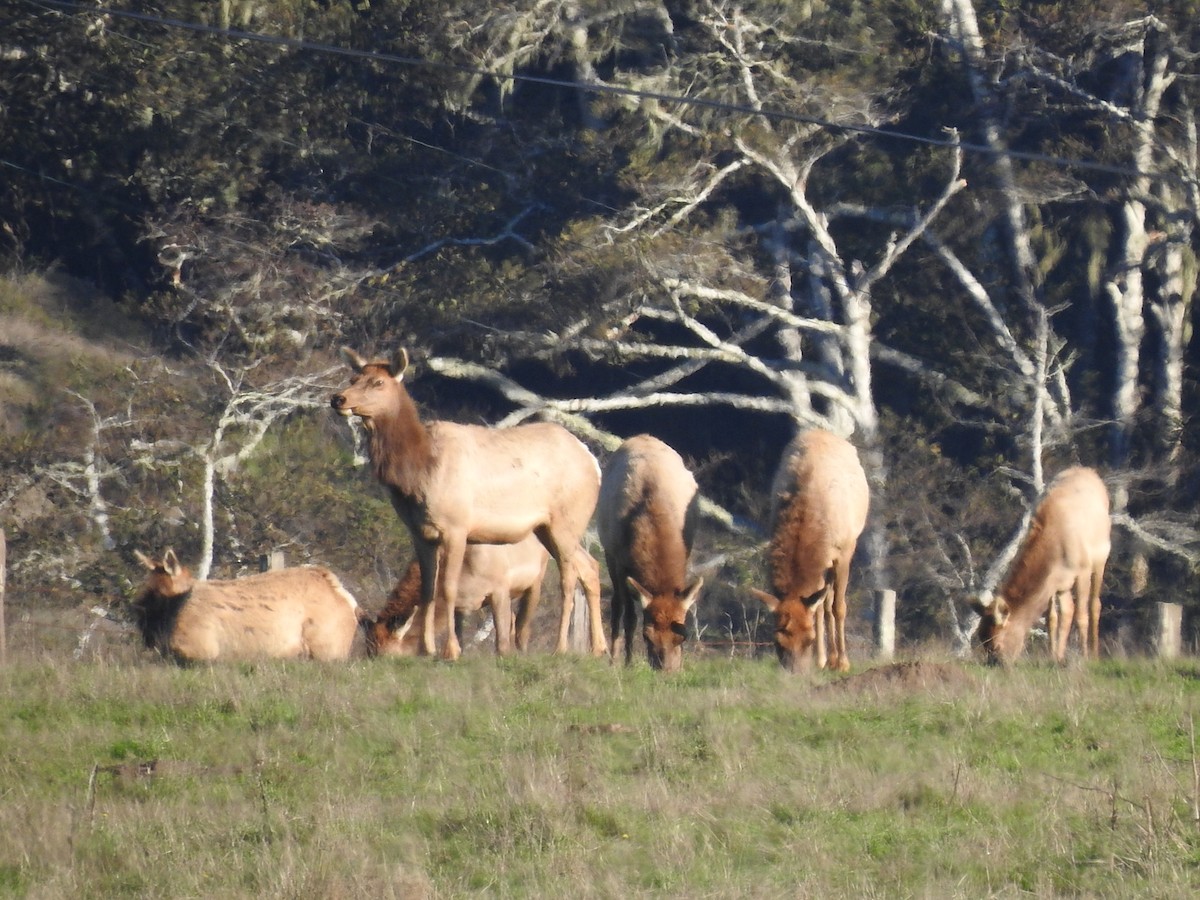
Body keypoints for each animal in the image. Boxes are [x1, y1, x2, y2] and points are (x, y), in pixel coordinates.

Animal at [365, 536, 550, 657]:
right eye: (369, 651)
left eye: (386, 656)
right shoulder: (458, 605)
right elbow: (457, 638)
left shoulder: (500, 590)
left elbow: (501, 642)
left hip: (536, 582)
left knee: (522, 628)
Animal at [597, 434, 703, 673]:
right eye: (647, 636)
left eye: (682, 636)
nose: (667, 671)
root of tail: (642, 436)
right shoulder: (620, 561)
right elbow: (629, 617)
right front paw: (626, 662)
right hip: (608, 552)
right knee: (617, 604)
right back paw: (613, 658)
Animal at [751, 429, 869, 674]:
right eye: (778, 641)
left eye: (809, 639)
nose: (795, 672)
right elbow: (821, 608)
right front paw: (822, 659)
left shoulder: (844, 551)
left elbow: (839, 607)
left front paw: (843, 663)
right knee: (822, 605)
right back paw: (826, 659)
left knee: (830, 603)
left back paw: (835, 659)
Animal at [970, 466, 1110, 665]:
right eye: (982, 640)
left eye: (996, 645)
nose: (994, 664)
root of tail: (1089, 471)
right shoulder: (1053, 580)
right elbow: (1052, 619)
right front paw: (1053, 656)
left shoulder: (1082, 570)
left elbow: (1082, 615)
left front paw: (1084, 657)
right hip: (1064, 585)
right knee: (1067, 610)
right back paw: (1060, 655)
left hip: (1100, 559)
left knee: (1094, 605)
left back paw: (1094, 652)